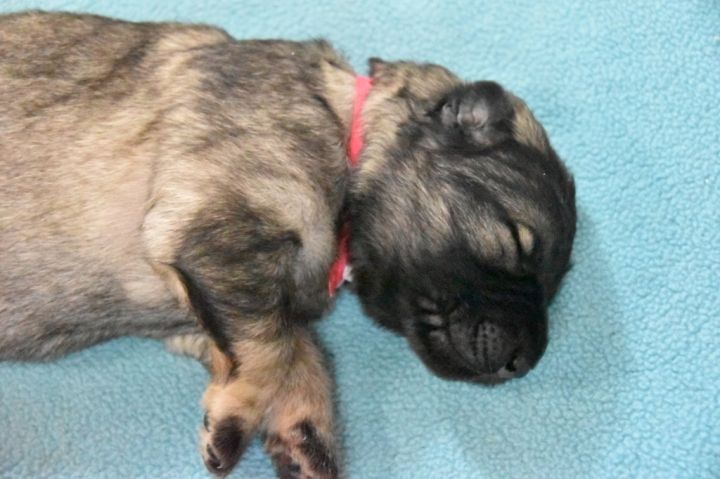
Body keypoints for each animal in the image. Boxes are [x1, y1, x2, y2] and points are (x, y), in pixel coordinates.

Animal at [0, 11, 576, 478]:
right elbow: (272, 349)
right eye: (515, 241)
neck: (347, 131)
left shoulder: (207, 300)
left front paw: (305, 440)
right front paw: (235, 420)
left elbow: (296, 347)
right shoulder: (220, 228)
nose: (525, 361)